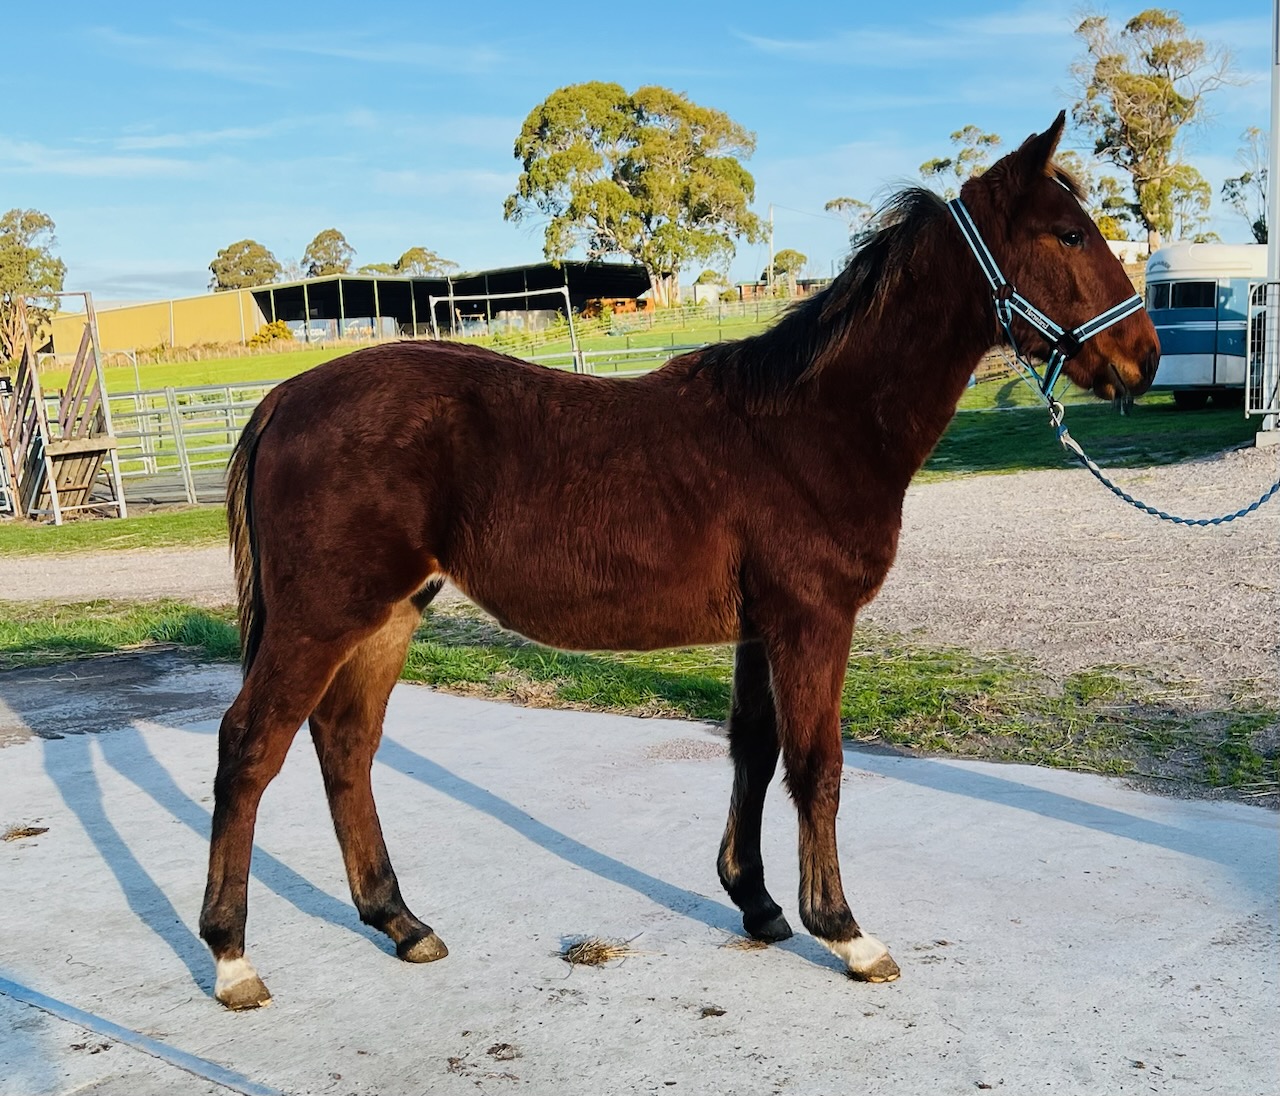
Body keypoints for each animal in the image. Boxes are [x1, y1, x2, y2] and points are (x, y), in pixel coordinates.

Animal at [200, 112, 1160, 1009]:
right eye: (1068, 235)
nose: (1143, 359)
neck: (814, 425)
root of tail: (283, 398)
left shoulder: (761, 629)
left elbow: (755, 752)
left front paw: (758, 903)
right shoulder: (813, 620)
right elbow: (819, 766)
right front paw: (845, 932)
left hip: (391, 613)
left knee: (346, 748)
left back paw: (401, 923)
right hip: (325, 616)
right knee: (251, 747)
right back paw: (232, 958)